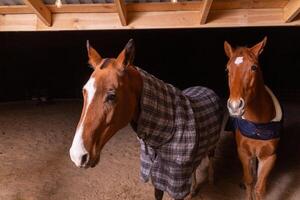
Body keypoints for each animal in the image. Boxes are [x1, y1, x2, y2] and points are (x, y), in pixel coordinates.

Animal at [69, 39, 226, 200]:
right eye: (84, 91)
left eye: (112, 96)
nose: (77, 155)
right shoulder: (158, 177)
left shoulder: (176, 183)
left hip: (212, 144)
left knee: (211, 157)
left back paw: (211, 179)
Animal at [225, 36, 282, 199]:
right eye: (227, 70)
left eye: (254, 67)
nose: (235, 106)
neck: (258, 125)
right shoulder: (243, 153)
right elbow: (249, 181)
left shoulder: (269, 157)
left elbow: (259, 188)